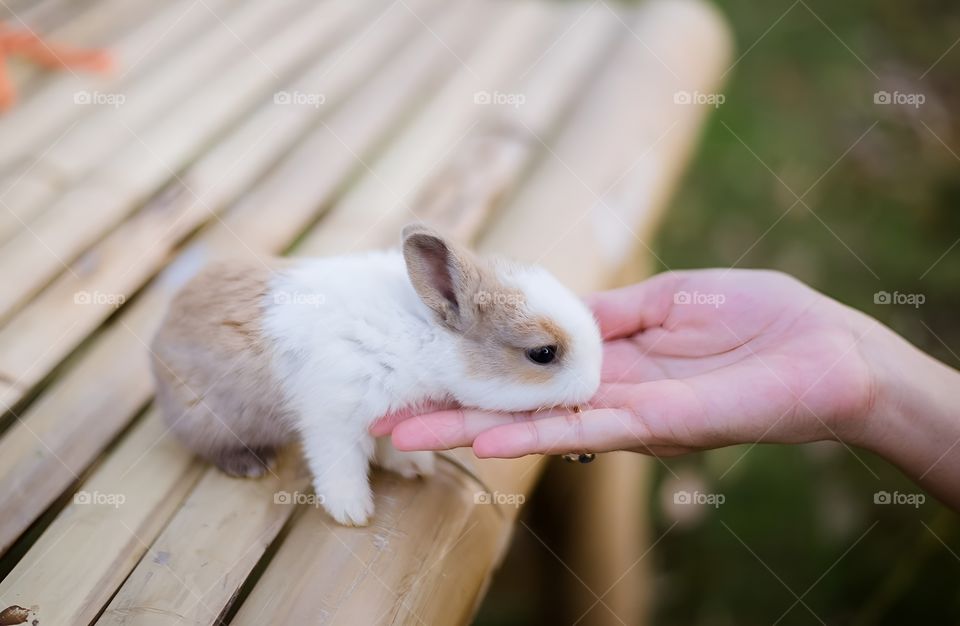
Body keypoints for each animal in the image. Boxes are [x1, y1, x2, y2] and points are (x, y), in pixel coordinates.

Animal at [149, 223, 602, 525]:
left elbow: (389, 443)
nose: (594, 382)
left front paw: (414, 466)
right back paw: (249, 464)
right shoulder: (334, 418)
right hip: (207, 417)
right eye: (542, 353)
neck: (426, 334)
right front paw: (353, 513)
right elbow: (340, 468)